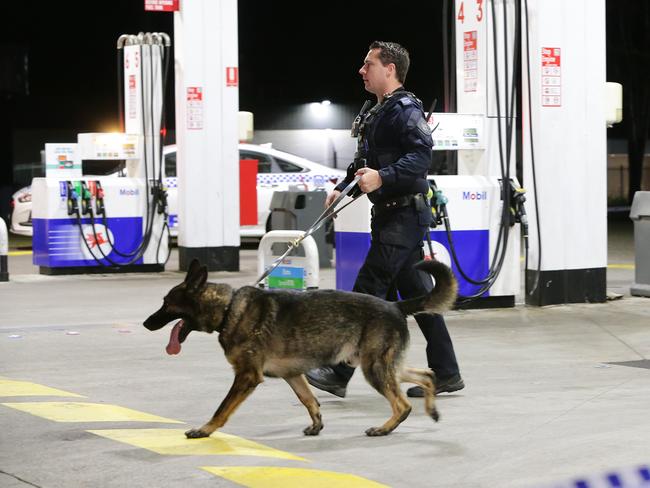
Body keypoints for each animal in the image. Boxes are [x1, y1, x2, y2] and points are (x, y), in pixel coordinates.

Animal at [143, 260, 456, 438]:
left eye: (167, 304)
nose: (146, 323)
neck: (229, 308)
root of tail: (395, 305)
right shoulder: (292, 375)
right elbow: (309, 401)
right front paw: (317, 425)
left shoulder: (246, 377)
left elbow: (222, 408)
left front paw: (204, 430)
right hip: (380, 365)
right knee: (426, 375)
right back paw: (432, 409)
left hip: (374, 369)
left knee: (402, 404)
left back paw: (384, 428)